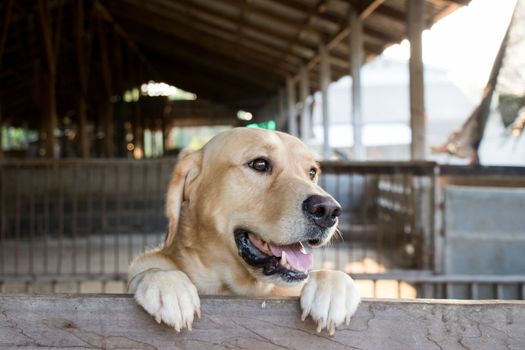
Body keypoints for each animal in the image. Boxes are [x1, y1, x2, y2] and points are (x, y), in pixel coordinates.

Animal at [127, 127, 358, 334]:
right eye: (260, 164)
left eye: (312, 173)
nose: (328, 210)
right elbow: (152, 271)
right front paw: (168, 284)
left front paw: (331, 287)